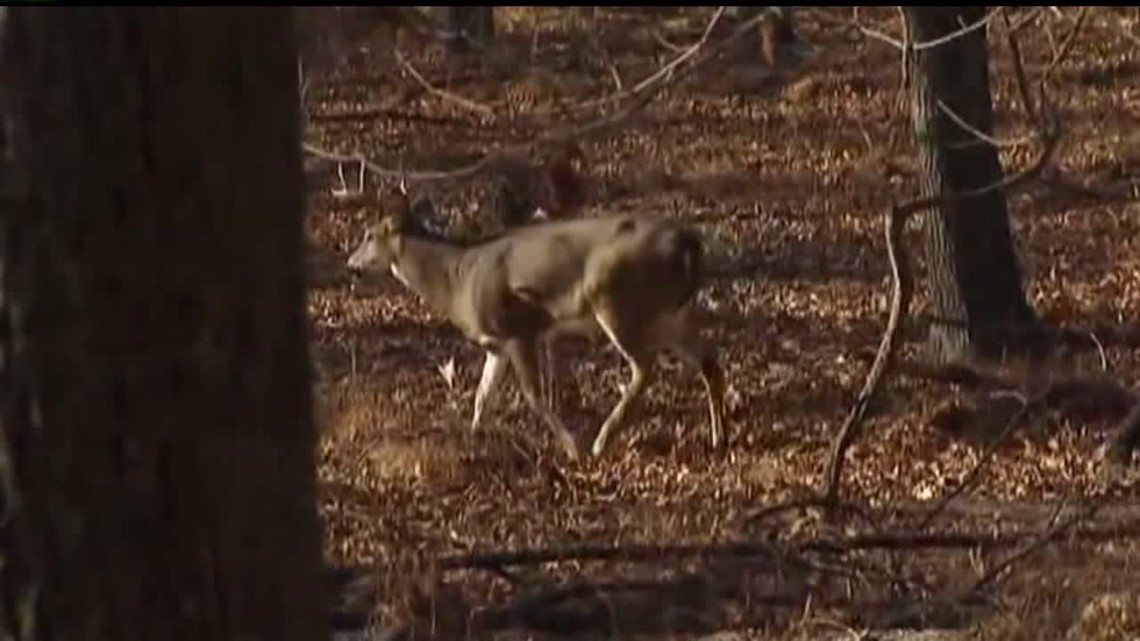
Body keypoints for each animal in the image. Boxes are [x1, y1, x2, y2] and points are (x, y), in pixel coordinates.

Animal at [345, 187, 726, 462]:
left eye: (368, 235)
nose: (351, 264)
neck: (458, 279)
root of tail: (689, 244)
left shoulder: (519, 329)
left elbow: (534, 395)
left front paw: (573, 449)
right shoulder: (496, 343)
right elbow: (482, 395)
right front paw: (473, 437)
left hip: (618, 300)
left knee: (645, 366)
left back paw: (602, 441)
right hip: (669, 310)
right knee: (708, 361)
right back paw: (718, 437)